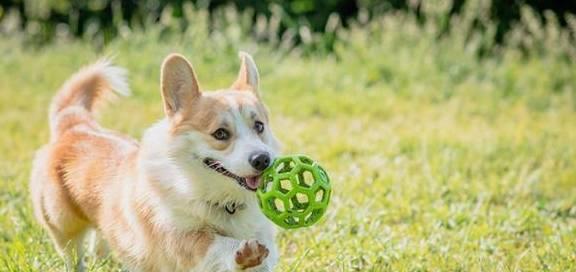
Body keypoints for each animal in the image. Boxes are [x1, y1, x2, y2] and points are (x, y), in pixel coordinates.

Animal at [31, 52, 282, 270]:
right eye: (220, 133)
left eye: (259, 126)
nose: (262, 159)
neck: (223, 200)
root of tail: (75, 125)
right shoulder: (177, 237)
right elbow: (215, 243)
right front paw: (244, 253)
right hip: (63, 228)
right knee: (72, 254)